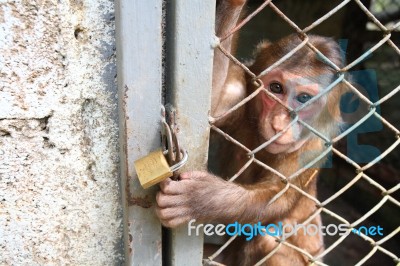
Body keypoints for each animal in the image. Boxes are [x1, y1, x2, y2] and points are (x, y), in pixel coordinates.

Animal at [155, 1, 346, 264]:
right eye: (276, 88)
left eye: (304, 99)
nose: (279, 123)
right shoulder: (241, 97)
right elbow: (213, 102)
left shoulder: (315, 146)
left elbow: (278, 195)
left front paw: (200, 199)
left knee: (267, 238)